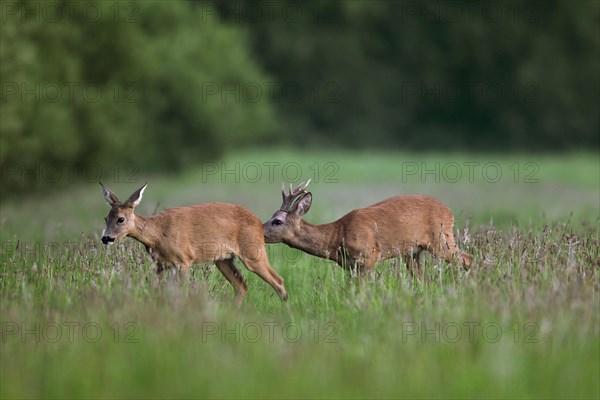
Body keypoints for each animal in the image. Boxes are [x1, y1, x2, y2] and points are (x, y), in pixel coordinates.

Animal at [99, 181, 288, 306]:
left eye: (121, 219)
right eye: (106, 218)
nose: (106, 238)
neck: (158, 234)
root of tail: (259, 223)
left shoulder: (184, 260)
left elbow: (180, 291)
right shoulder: (160, 264)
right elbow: (155, 288)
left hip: (253, 252)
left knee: (278, 280)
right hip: (223, 260)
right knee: (242, 286)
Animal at [264, 180, 472, 276]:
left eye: (277, 221)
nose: (260, 229)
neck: (337, 236)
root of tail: (449, 211)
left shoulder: (368, 257)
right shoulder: (350, 265)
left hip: (441, 239)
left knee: (467, 258)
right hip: (413, 252)